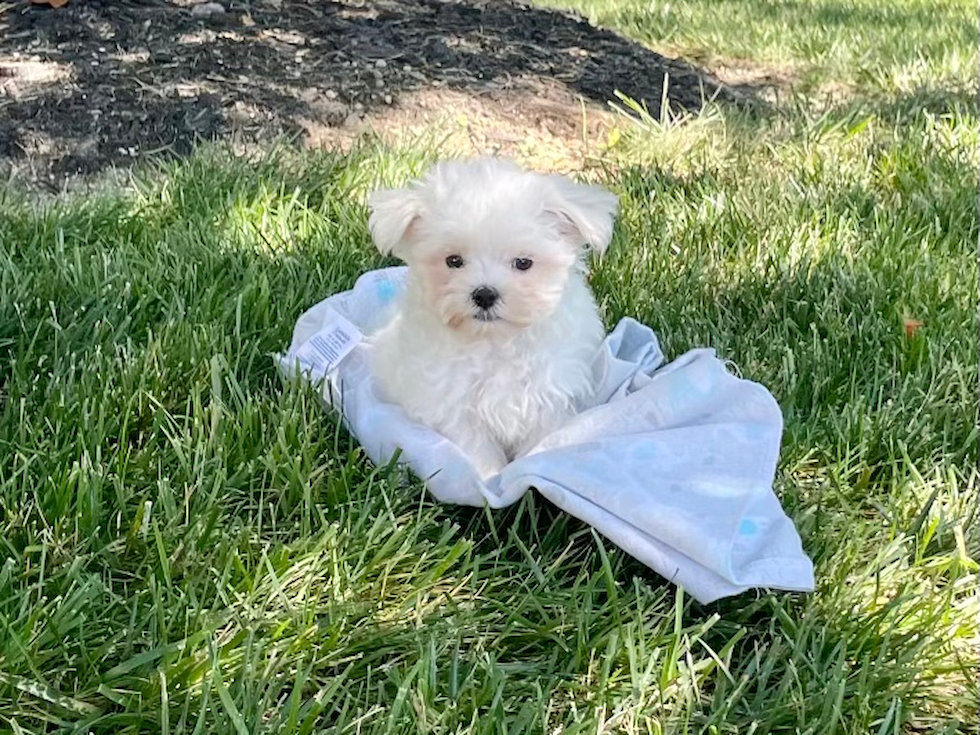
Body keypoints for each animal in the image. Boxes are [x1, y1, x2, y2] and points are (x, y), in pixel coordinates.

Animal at [364, 158, 616, 480]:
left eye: (523, 263)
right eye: (453, 261)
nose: (484, 294)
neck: (494, 342)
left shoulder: (549, 395)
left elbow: (540, 440)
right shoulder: (452, 403)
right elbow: (476, 446)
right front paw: (488, 477)